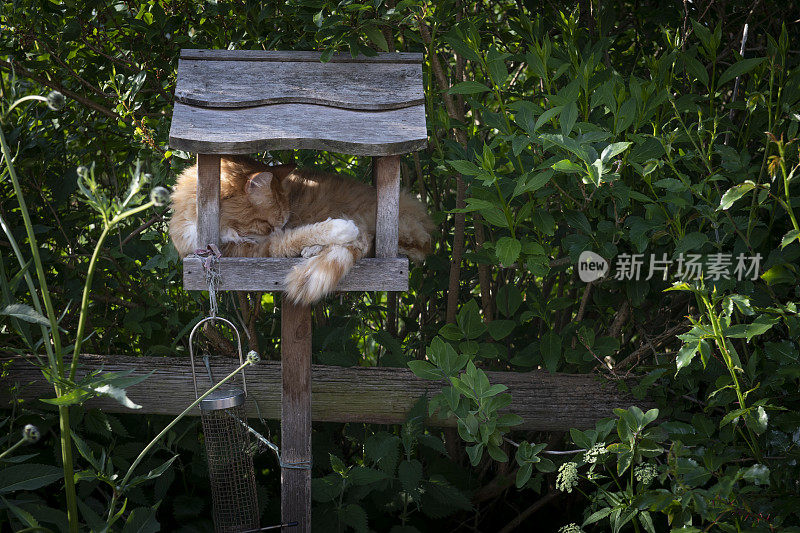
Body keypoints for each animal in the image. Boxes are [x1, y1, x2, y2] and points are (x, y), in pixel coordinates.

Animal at [167, 155, 432, 304]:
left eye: (278, 223)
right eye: (267, 225)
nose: (278, 229)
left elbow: (297, 235)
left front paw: (338, 229)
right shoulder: (249, 249)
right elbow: (288, 240)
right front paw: (336, 229)